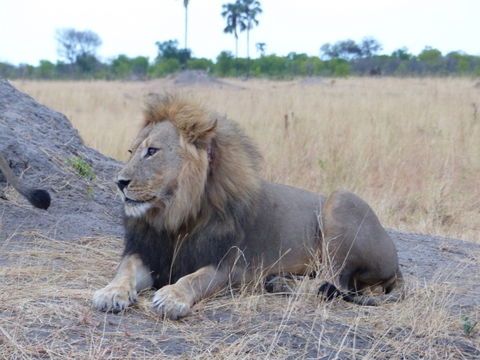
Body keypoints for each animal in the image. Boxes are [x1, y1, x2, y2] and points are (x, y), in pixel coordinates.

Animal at [92, 95, 404, 318]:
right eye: (131, 151)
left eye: (152, 151)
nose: (119, 182)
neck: (177, 217)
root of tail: (396, 262)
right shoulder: (148, 252)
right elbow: (125, 270)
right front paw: (111, 293)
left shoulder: (232, 265)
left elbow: (195, 279)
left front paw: (172, 297)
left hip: (341, 200)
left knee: (334, 282)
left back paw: (284, 284)